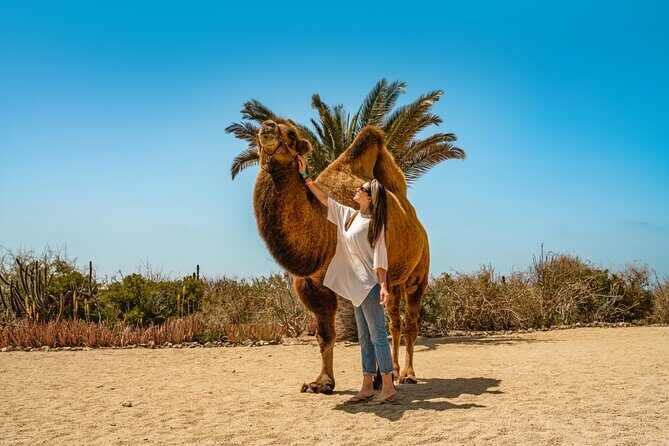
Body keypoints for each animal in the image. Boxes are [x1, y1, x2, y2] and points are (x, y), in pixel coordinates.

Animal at [252, 117, 430, 393]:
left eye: (291, 134)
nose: (267, 127)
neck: (326, 231)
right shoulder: (310, 284)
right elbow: (325, 334)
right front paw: (321, 383)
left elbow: (368, 329)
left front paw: (375, 380)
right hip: (393, 282)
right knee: (395, 322)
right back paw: (394, 371)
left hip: (418, 274)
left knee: (410, 322)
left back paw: (408, 375)